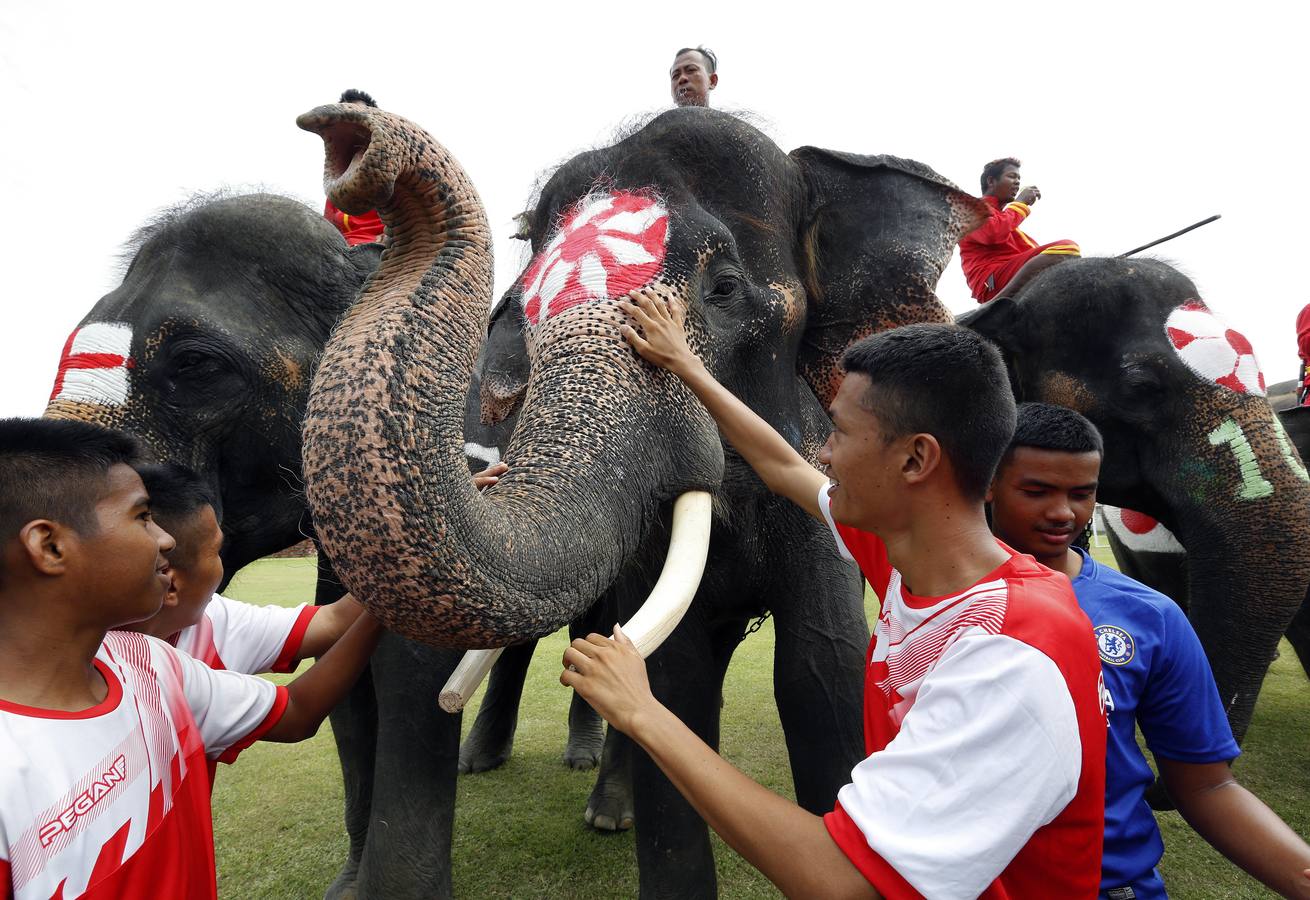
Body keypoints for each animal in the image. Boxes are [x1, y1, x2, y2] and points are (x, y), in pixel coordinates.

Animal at [295, 100, 987, 897]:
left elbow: (820, 669)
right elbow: (676, 679)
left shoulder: (823, 479)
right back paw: (582, 801)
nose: (350, 135)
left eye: (724, 287)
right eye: (523, 311)